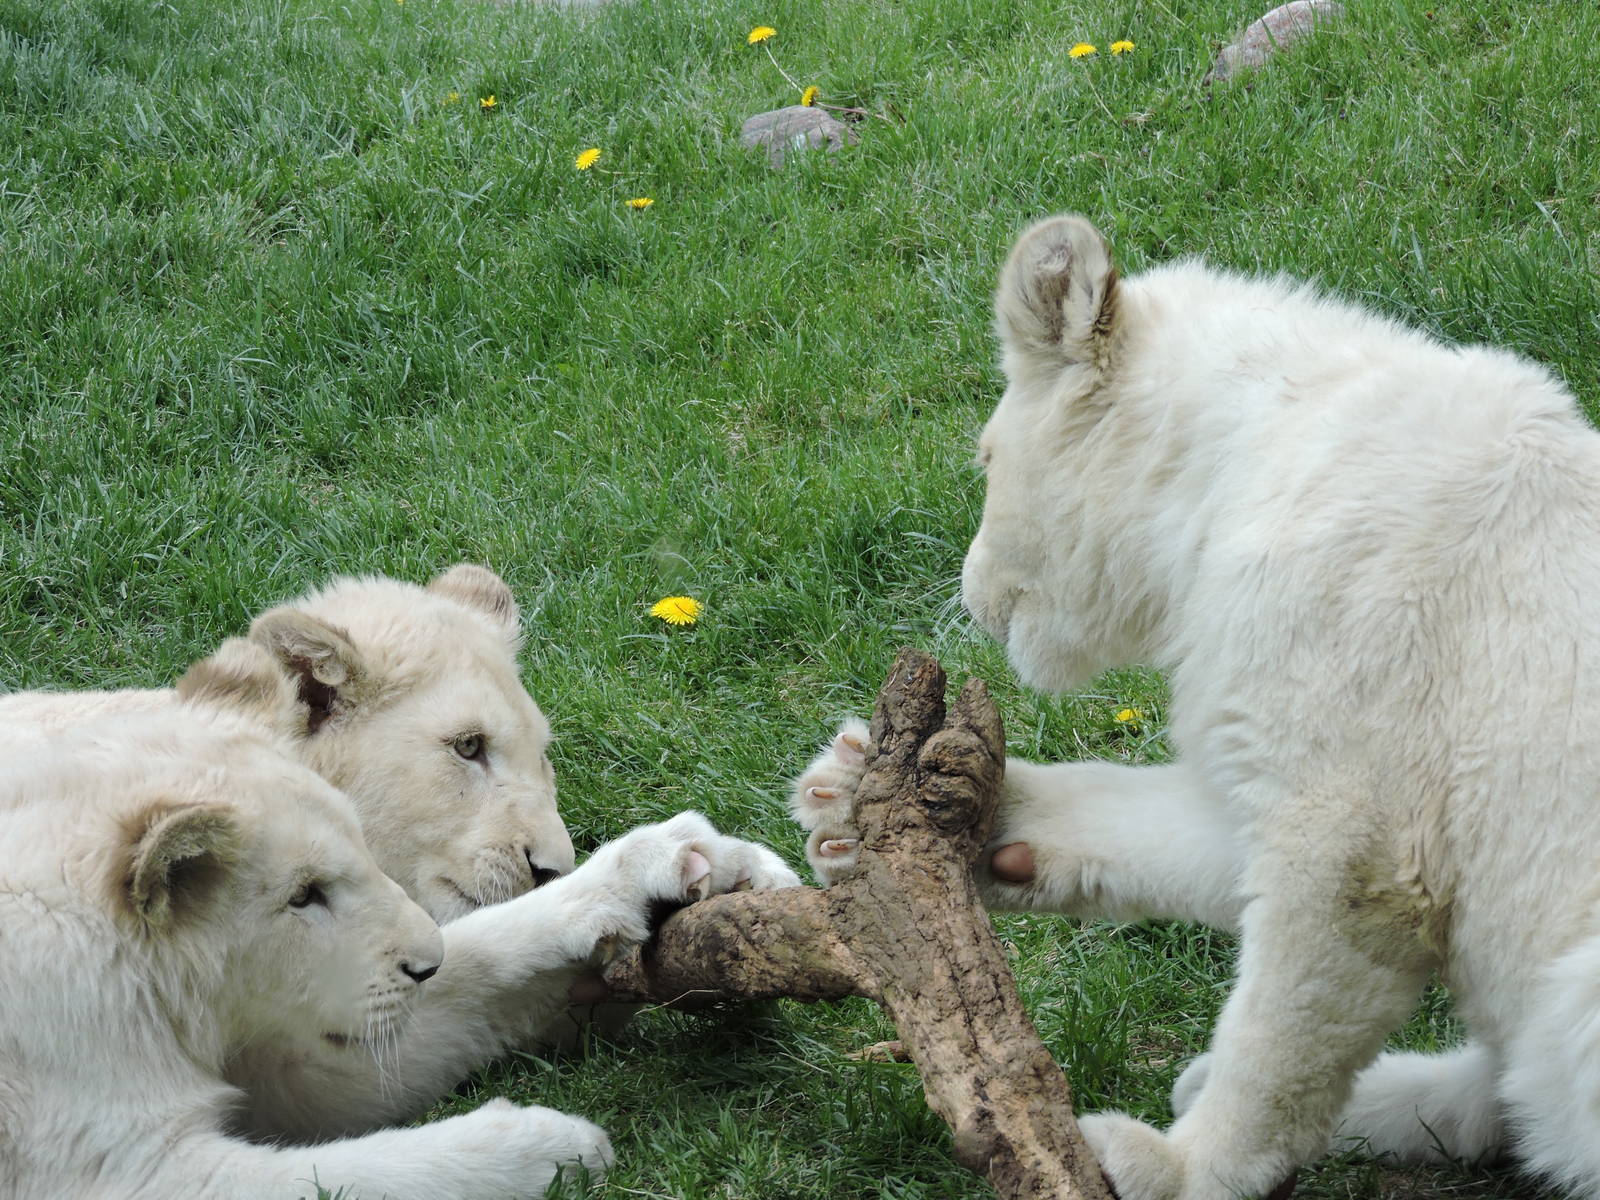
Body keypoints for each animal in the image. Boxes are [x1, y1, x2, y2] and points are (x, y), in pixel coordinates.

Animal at [792, 215, 1600, 1197]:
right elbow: (1147, 826)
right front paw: (865, 798)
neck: (1226, 478)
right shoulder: (1278, 766)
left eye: (984, 459)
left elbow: (1281, 1040)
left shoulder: (1357, 838)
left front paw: (1182, 1168)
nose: (972, 596)